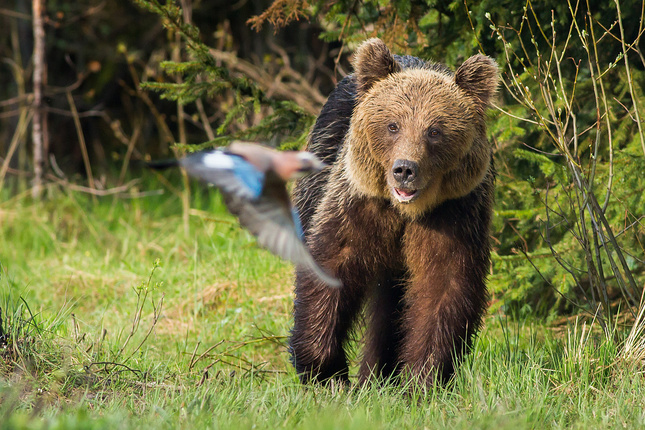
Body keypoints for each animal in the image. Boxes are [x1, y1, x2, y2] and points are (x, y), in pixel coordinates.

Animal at [290, 37, 498, 386]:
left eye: (434, 130)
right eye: (392, 125)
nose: (405, 169)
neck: (406, 212)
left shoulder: (455, 215)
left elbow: (444, 289)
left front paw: (424, 375)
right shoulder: (358, 205)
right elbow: (331, 265)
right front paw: (327, 370)